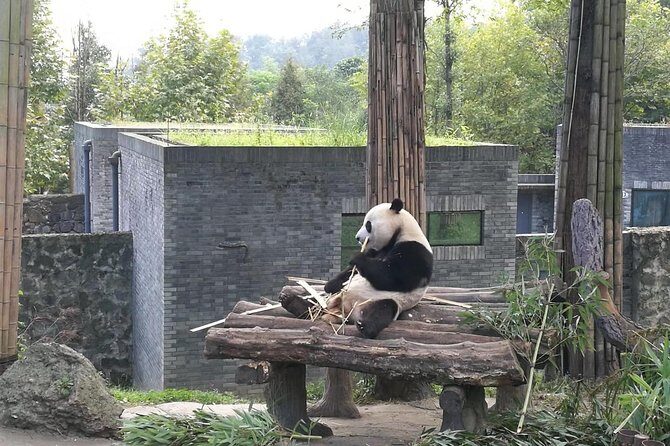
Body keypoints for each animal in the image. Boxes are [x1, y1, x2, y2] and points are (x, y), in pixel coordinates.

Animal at [281, 198, 433, 338]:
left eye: (368, 224)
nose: (357, 237)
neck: (401, 231)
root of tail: (343, 309)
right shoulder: (375, 250)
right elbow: (349, 273)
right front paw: (330, 284)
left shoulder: (415, 251)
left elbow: (396, 277)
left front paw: (357, 258)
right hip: (330, 299)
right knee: (316, 303)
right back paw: (291, 300)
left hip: (384, 301)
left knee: (383, 310)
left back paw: (364, 326)